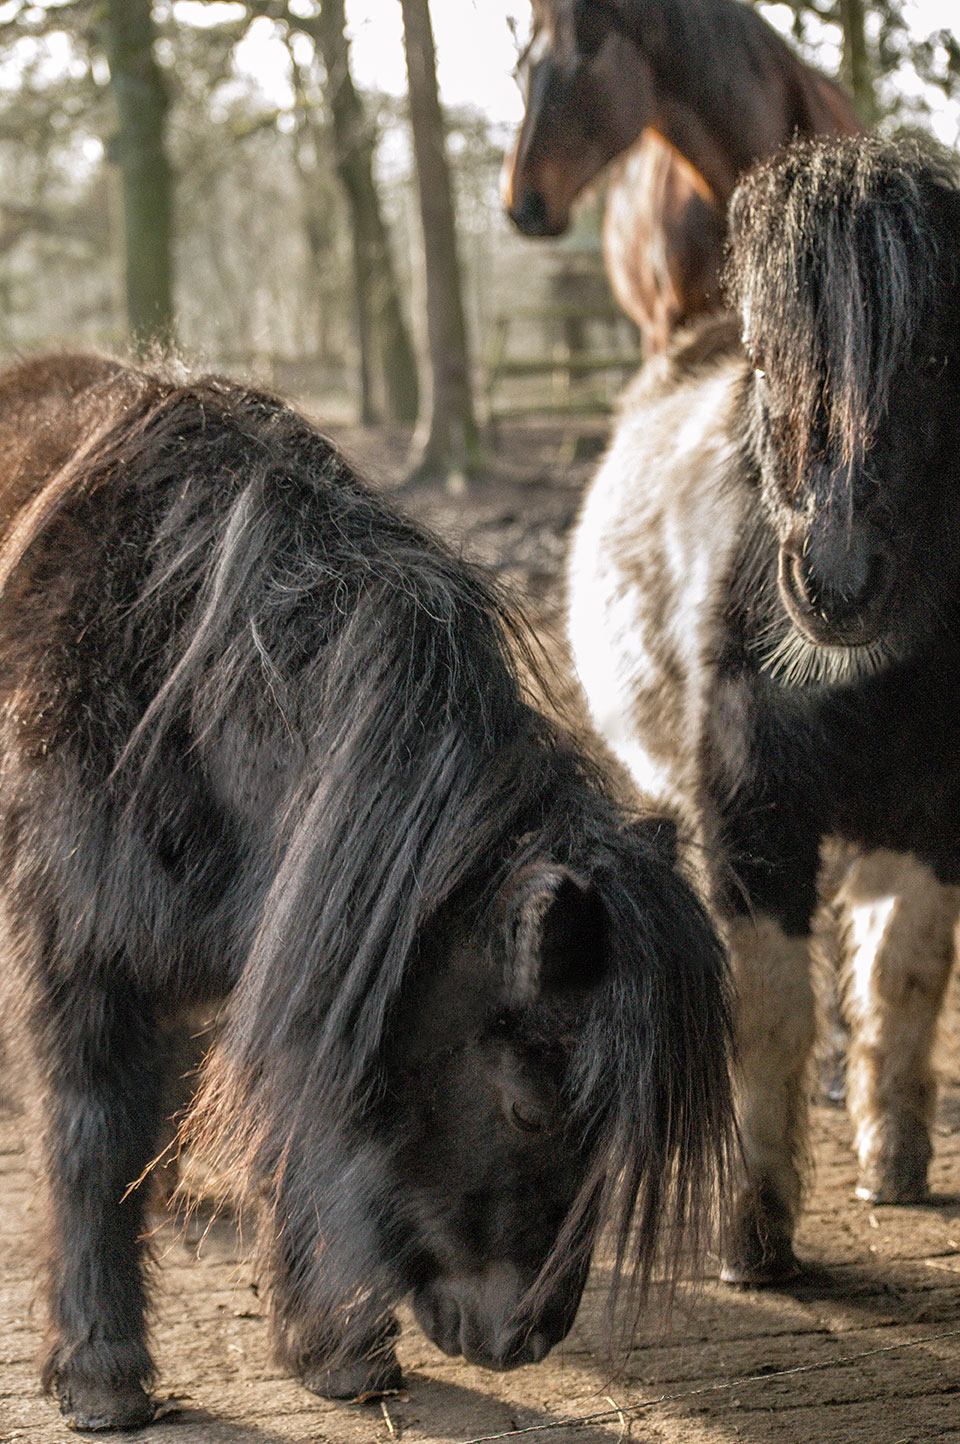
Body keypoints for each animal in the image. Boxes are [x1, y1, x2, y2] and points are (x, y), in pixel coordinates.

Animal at [0, 353, 733, 1430]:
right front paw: (100, 1372)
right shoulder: (78, 959)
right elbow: (88, 1140)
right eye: (530, 1109)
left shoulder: (303, 949)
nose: (526, 1336)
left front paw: (337, 1347)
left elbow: (291, 1120)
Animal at [567, 134, 960, 1285]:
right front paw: (751, 1229)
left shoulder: (931, 818)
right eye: (765, 356)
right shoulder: (752, 818)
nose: (836, 585)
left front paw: (893, 1158)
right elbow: (771, 1006)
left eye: (936, 357)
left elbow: (906, 971)